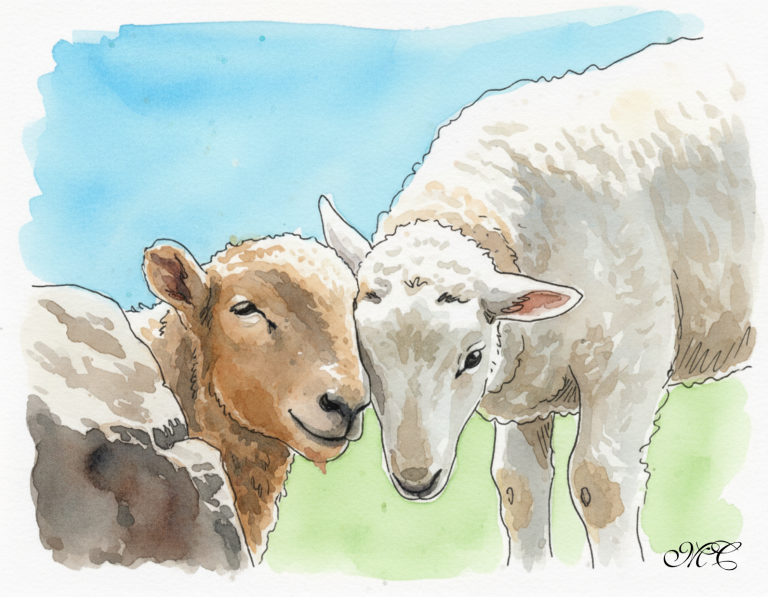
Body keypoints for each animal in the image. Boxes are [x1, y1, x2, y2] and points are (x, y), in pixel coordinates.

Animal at [318, 38, 756, 568]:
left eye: (472, 357)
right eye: (364, 356)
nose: (416, 479)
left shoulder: (631, 359)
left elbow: (600, 484)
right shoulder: (527, 392)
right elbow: (518, 491)